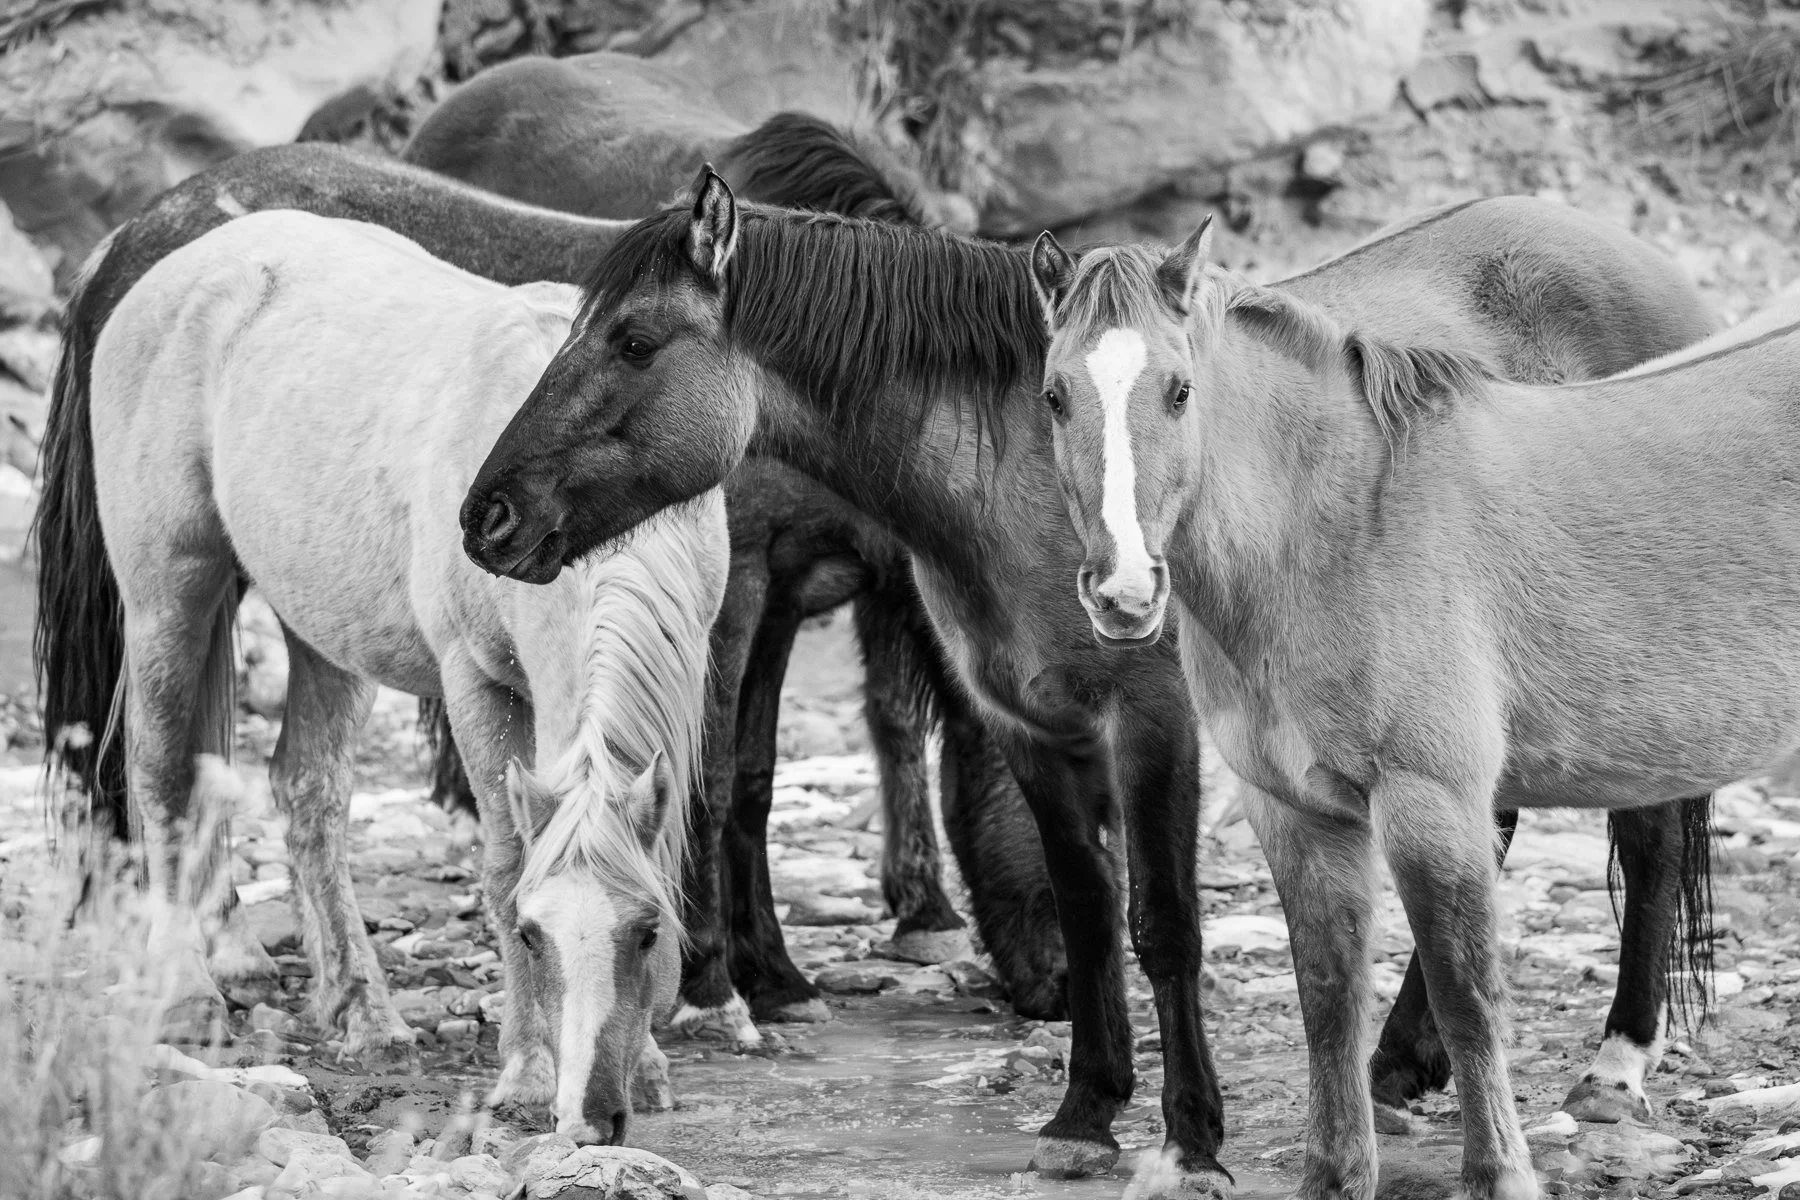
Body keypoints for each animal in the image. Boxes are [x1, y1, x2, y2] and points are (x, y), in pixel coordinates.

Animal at [31, 141, 1062, 1042]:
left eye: (633, 340)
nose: (1059, 989)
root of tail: (136, 247)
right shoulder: (748, 596)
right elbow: (720, 782)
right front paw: (718, 987)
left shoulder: (791, 598)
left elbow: (768, 773)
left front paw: (770, 973)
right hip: (174, 584)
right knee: (160, 766)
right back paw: (203, 985)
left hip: (313, 611)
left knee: (288, 782)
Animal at [67, 208, 726, 1144]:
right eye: (531, 934)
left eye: (648, 933)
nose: (589, 1116)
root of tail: (169, 268)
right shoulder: (477, 685)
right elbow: (503, 858)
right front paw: (527, 1074)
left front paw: (652, 1066)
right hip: (168, 595)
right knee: (160, 775)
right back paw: (192, 996)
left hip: (324, 633)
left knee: (308, 792)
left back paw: (364, 1015)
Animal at [456, 178, 1716, 1191]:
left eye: (632, 341)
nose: (488, 515)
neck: (1022, 461)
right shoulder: (1032, 726)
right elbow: (1086, 905)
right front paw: (1085, 1111)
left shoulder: (1153, 724)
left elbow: (1163, 924)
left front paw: (1191, 1133)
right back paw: (1403, 1064)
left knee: (1648, 836)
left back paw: (1614, 1064)